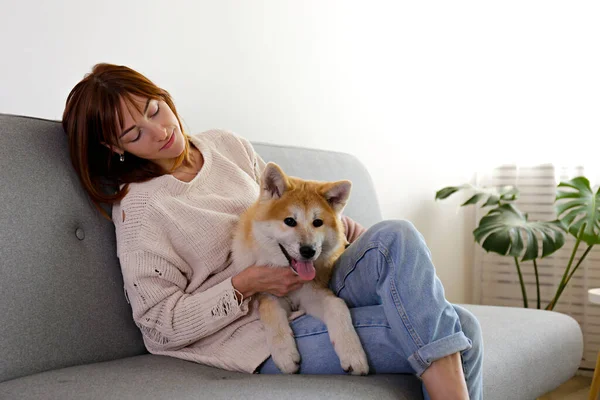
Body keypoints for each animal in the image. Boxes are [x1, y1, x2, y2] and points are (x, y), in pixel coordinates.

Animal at [231, 162, 368, 376]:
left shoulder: (313, 294)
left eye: (317, 222)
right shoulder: (268, 294)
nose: (308, 251)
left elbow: (337, 306)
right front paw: (285, 354)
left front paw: (353, 353)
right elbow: (271, 315)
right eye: (289, 221)